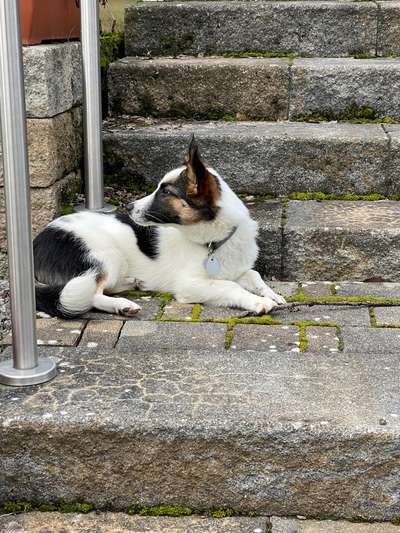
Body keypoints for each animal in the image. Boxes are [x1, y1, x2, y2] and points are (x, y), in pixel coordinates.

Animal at [33, 138, 284, 320]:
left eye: (165, 192)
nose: (128, 207)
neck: (214, 241)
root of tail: (35, 243)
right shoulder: (189, 285)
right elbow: (230, 286)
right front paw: (258, 302)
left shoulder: (238, 269)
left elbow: (254, 275)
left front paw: (273, 295)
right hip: (105, 256)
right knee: (89, 295)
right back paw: (122, 305)